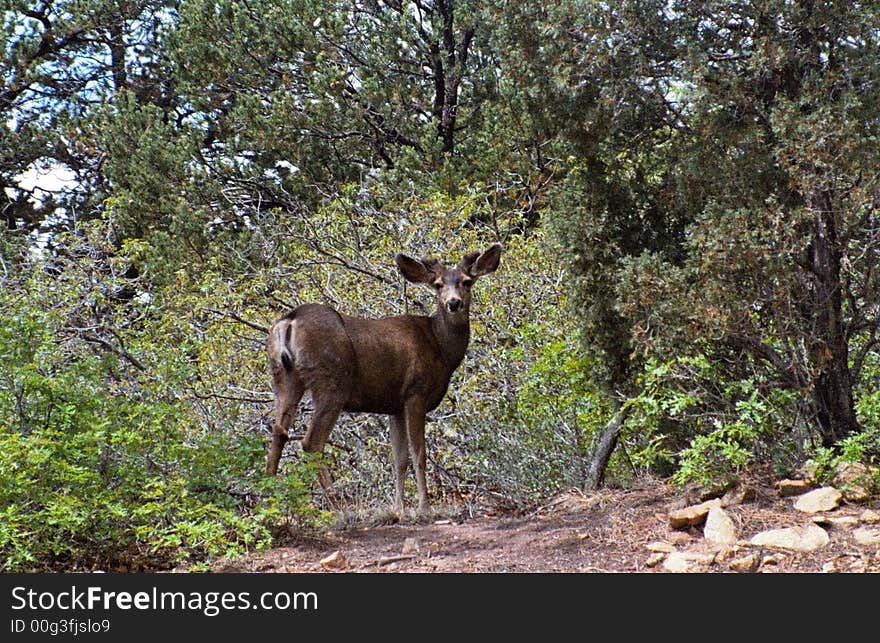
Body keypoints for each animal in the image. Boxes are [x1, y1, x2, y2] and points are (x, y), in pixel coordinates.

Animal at [264, 243, 502, 520]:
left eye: (466, 281)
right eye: (438, 285)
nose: (454, 303)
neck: (440, 347)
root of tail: (289, 321)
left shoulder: (394, 405)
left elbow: (399, 459)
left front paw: (398, 508)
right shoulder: (415, 392)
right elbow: (419, 453)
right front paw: (424, 507)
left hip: (284, 377)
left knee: (278, 432)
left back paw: (270, 500)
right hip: (331, 382)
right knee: (311, 442)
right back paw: (337, 507)